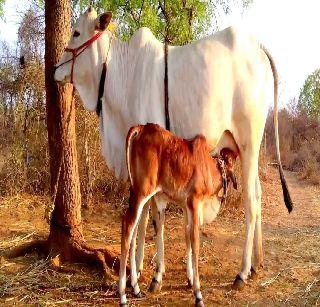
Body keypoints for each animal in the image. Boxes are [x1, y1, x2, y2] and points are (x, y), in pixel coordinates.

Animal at [118, 124, 238, 306]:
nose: (235, 181)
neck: (209, 167)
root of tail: (142, 128)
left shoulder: (186, 207)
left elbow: (187, 237)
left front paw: (189, 280)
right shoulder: (194, 203)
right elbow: (195, 244)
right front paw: (198, 294)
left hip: (136, 194)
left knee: (133, 230)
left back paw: (136, 289)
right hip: (142, 192)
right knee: (127, 227)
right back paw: (123, 295)